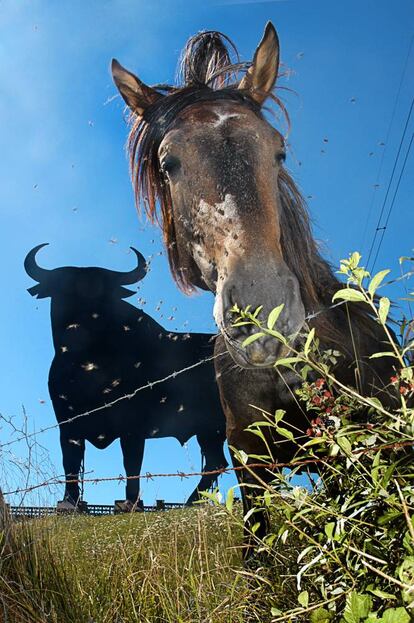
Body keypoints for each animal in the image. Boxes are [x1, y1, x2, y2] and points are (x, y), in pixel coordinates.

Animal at [24, 244, 228, 512]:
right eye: (62, 291)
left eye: (103, 295)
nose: (77, 329)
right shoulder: (67, 424)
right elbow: (70, 462)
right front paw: (69, 502)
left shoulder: (132, 427)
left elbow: (131, 462)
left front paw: (131, 502)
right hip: (210, 430)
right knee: (217, 462)